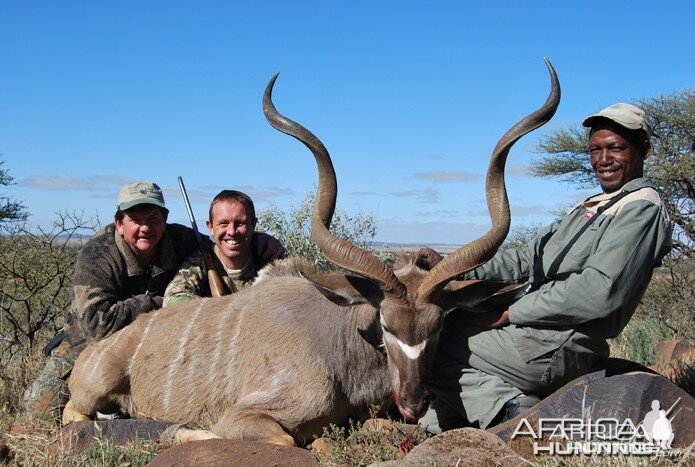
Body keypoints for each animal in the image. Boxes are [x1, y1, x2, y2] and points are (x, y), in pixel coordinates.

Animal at [65, 61, 564, 446]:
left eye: (439, 324)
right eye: (386, 324)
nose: (414, 402)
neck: (339, 341)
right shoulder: (248, 415)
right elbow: (281, 439)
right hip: (90, 392)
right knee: (76, 414)